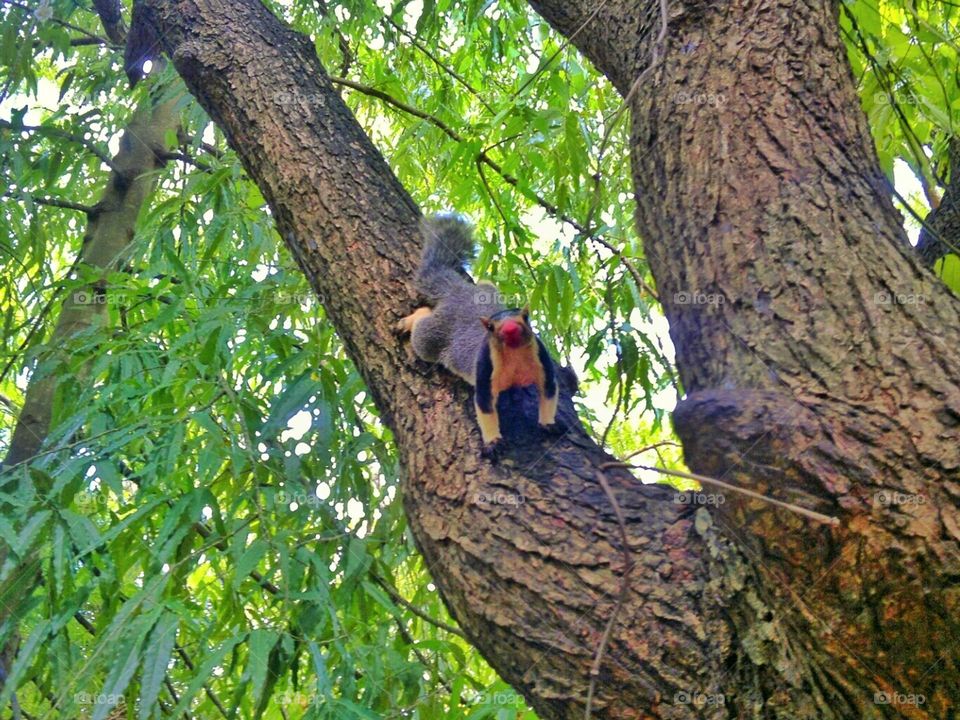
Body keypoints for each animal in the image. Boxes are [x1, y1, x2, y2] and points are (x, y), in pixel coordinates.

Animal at [396, 215, 563, 460]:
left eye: (525, 317)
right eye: (492, 328)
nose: (510, 329)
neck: (514, 353)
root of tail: (458, 292)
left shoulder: (541, 360)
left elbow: (549, 392)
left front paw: (549, 423)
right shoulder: (485, 368)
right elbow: (484, 407)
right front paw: (493, 441)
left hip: (487, 291)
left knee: (485, 283)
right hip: (431, 337)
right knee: (423, 328)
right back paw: (412, 320)